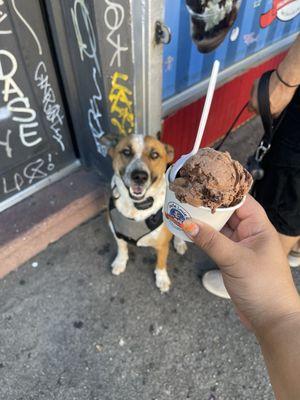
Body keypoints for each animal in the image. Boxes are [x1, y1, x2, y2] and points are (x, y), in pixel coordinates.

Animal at [108, 136, 188, 292]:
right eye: (126, 152)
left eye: (155, 155)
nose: (139, 176)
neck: (137, 206)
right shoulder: (116, 230)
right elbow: (122, 247)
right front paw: (120, 261)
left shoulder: (162, 244)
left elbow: (161, 262)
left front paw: (162, 278)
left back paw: (179, 242)